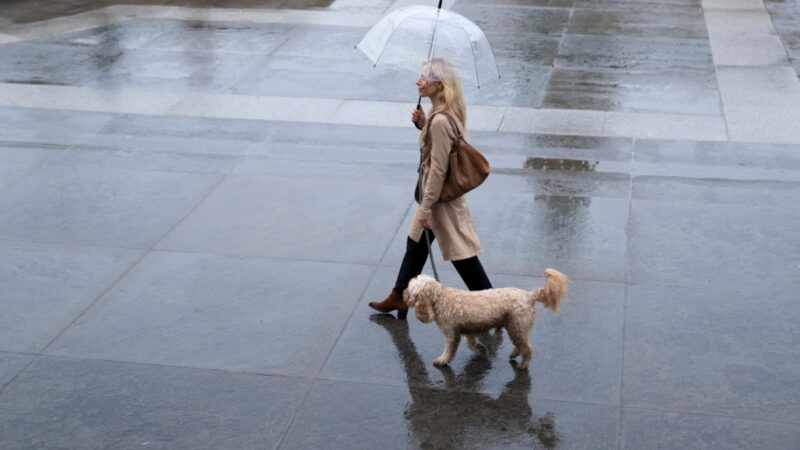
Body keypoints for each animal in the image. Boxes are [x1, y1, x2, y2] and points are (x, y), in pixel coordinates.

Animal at [406, 270, 568, 370]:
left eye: (411, 290)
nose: (404, 295)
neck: (439, 298)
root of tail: (529, 296)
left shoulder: (451, 333)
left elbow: (449, 350)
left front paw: (442, 360)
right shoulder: (469, 330)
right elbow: (471, 344)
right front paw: (480, 348)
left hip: (518, 326)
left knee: (527, 348)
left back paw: (523, 365)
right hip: (514, 327)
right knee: (521, 345)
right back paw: (514, 354)